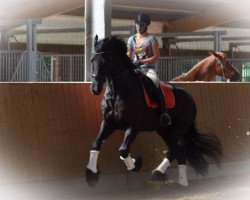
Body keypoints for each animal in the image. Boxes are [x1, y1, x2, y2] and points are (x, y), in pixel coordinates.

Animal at [85, 35, 221, 188]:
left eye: (104, 60)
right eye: (92, 60)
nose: (95, 88)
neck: (119, 91)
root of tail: (190, 99)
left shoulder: (133, 126)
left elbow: (123, 150)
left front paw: (136, 164)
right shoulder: (109, 123)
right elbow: (96, 143)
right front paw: (91, 173)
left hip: (175, 132)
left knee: (178, 152)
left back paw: (177, 180)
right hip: (165, 131)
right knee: (176, 152)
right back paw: (164, 175)